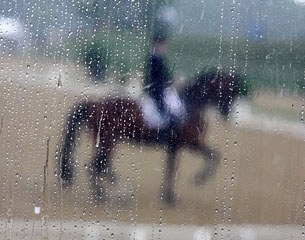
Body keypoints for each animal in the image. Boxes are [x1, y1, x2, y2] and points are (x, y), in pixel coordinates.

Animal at [58, 69, 247, 204]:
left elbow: (171, 169)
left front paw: (169, 197)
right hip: (108, 141)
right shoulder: (192, 143)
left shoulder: (175, 146)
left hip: (107, 142)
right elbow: (214, 156)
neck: (191, 105)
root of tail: (95, 104)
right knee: (97, 166)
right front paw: (198, 179)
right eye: (229, 90)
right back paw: (108, 194)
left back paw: (111, 193)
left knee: (100, 166)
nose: (226, 114)